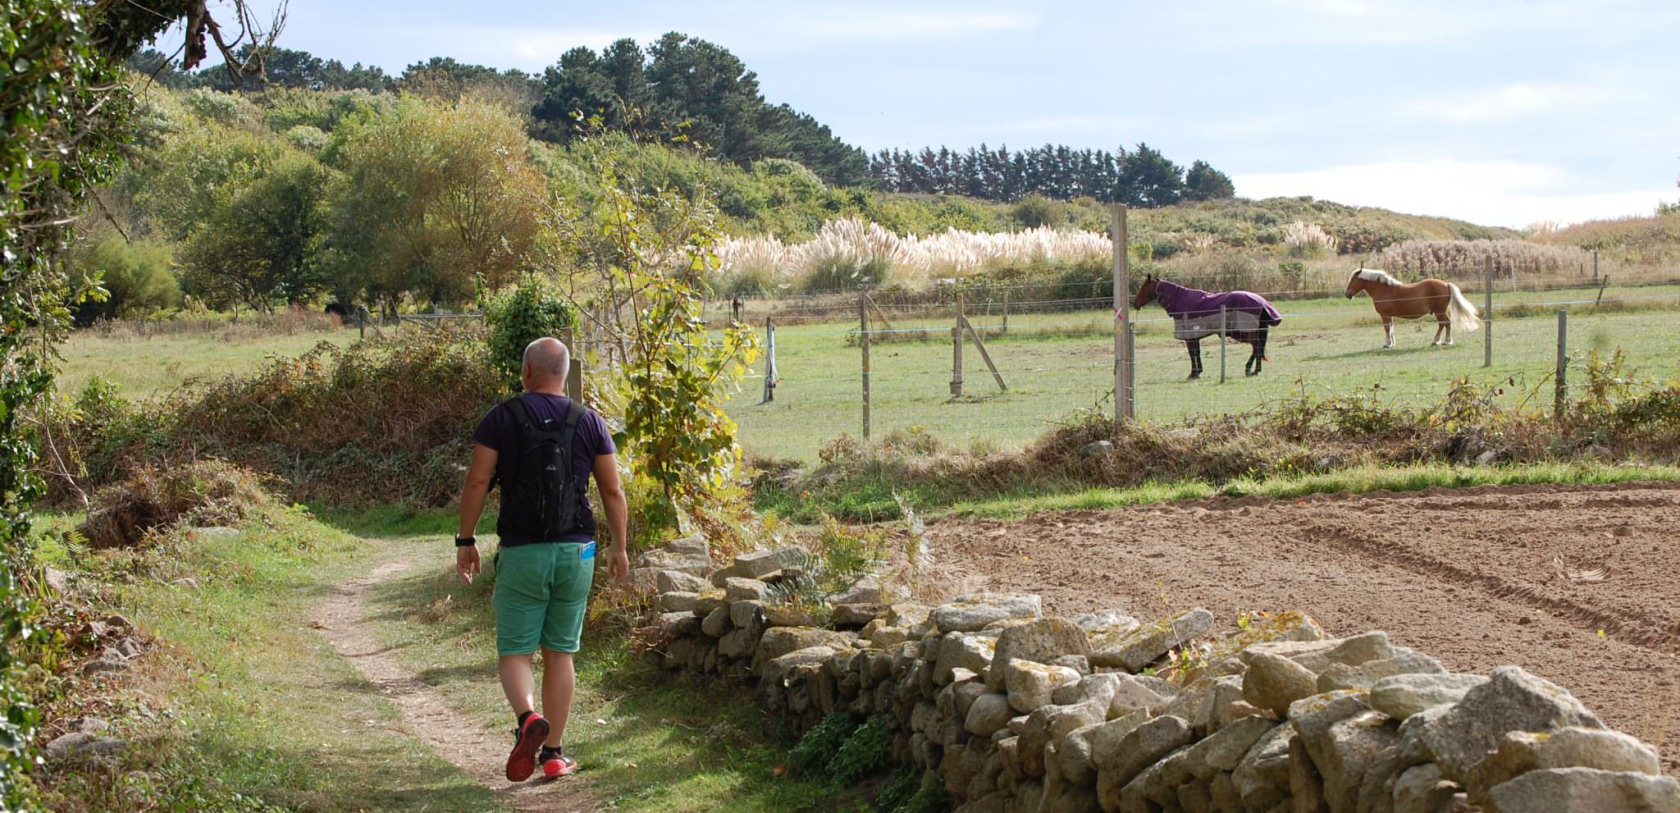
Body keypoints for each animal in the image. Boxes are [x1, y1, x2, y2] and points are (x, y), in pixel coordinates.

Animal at [1135, 275, 1276, 379]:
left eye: (1143, 288)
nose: (1135, 303)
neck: (1181, 300)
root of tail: (1262, 302)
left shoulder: (1189, 337)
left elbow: (1192, 353)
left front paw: (1193, 374)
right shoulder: (1194, 336)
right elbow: (1196, 352)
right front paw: (1198, 372)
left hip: (1246, 332)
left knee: (1256, 347)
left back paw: (1252, 370)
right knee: (1257, 348)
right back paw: (1253, 370)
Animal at [1350, 270, 1485, 349]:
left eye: (1352, 280)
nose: (1347, 294)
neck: (1384, 289)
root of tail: (1446, 284)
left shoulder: (1384, 315)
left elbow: (1387, 329)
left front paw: (1387, 344)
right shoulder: (1390, 316)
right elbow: (1392, 329)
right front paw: (1392, 343)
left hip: (1439, 311)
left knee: (1444, 323)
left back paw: (1443, 341)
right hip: (1439, 312)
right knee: (1443, 324)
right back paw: (1439, 341)